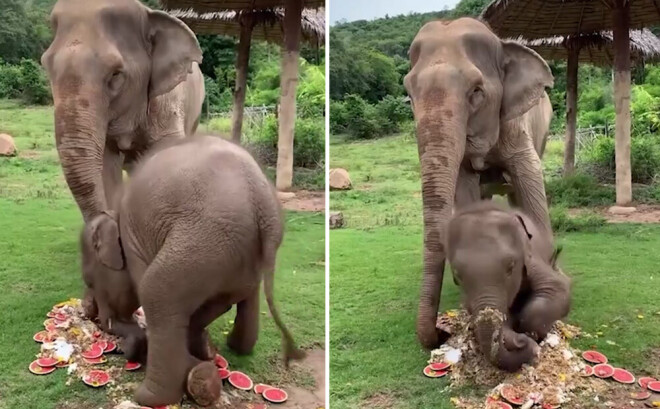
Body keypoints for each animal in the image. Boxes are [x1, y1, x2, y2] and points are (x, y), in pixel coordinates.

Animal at [80, 135, 304, 406]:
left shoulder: (135, 244)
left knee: (156, 291)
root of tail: (262, 201)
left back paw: (150, 395)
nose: (90, 312)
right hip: (233, 251)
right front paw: (203, 352)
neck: (115, 212)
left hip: (204, 238)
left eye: (90, 281)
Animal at [404, 16, 556, 348]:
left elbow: (530, 177)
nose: (441, 333)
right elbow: (465, 188)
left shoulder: (516, 125)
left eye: (476, 91)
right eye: (409, 94)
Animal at [446, 200, 568, 370]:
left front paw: (529, 332)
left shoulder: (531, 257)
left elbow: (558, 286)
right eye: (457, 275)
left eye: (511, 267)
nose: (521, 341)